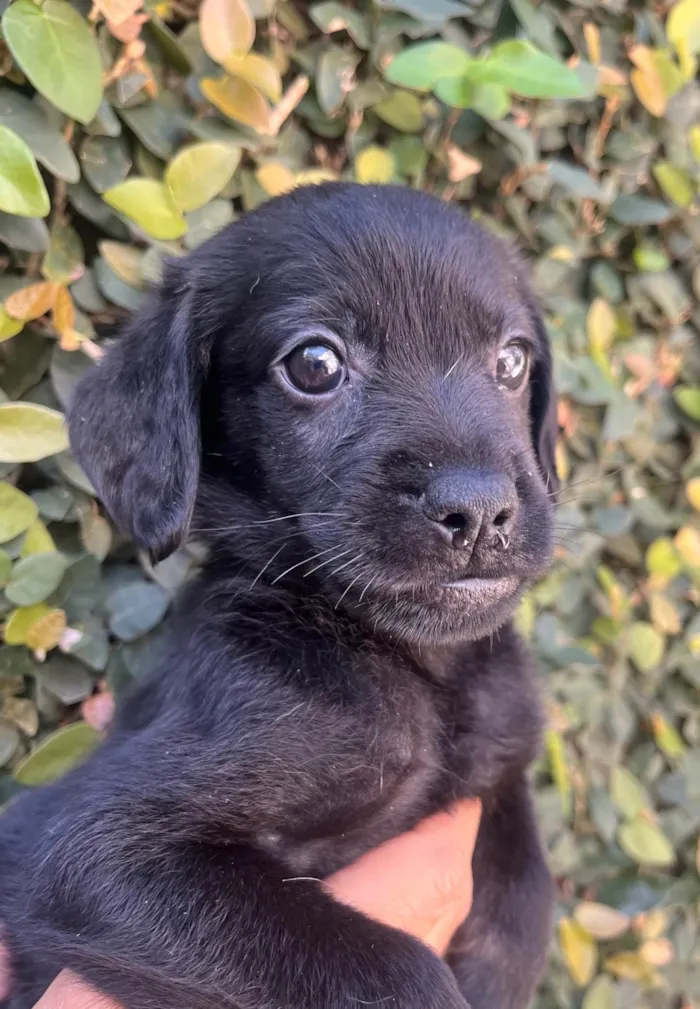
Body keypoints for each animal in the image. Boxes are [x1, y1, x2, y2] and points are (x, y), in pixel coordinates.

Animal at [0, 183, 560, 1008]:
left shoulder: (502, 768)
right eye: (315, 364)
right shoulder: (87, 847)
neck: (420, 673)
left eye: (514, 360)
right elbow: (394, 969)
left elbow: (527, 895)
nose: (480, 508)